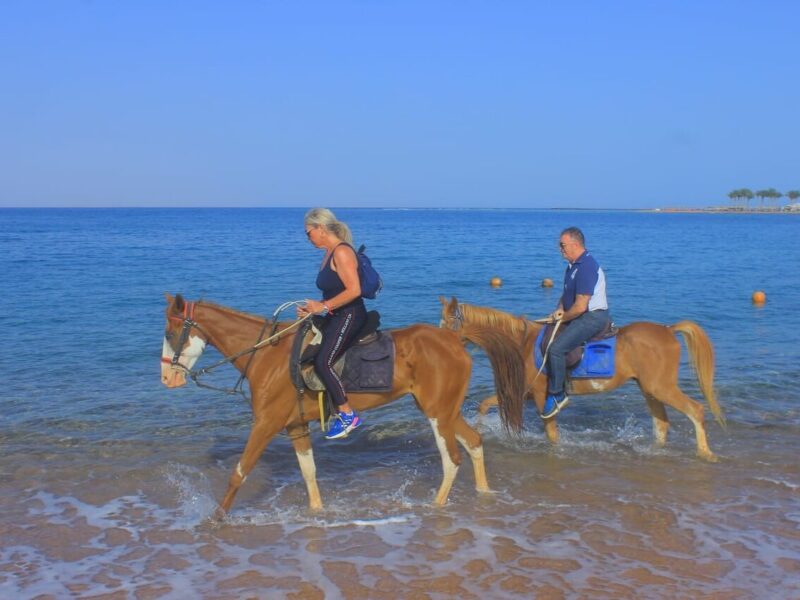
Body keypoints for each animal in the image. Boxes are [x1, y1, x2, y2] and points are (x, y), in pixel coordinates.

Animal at [160, 294, 526, 515]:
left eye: (170, 332)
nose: (166, 378)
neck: (266, 354)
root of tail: (454, 338)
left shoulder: (266, 424)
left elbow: (239, 473)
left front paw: (215, 519)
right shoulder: (295, 426)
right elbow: (308, 472)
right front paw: (317, 513)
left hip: (438, 414)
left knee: (451, 459)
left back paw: (435, 507)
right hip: (443, 410)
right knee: (474, 442)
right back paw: (483, 494)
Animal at [439, 297, 726, 462]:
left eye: (447, 323)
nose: (441, 342)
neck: (522, 342)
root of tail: (668, 330)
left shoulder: (542, 396)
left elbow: (552, 432)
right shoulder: (524, 392)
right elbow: (484, 405)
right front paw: (479, 429)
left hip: (661, 387)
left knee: (695, 410)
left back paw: (706, 453)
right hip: (649, 389)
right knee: (662, 423)